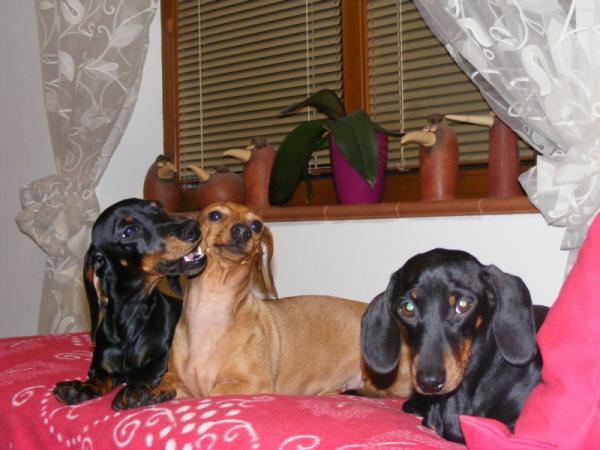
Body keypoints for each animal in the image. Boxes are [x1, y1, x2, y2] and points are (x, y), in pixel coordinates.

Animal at [53, 198, 207, 410]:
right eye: (129, 231)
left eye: (159, 208)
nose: (194, 226)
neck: (132, 320)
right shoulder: (100, 365)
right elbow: (99, 377)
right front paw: (82, 388)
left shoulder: (165, 355)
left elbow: (148, 370)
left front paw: (134, 389)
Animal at [155, 202, 412, 399]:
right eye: (215, 215)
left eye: (256, 225)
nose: (242, 231)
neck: (213, 310)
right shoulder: (179, 381)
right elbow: (169, 383)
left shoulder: (255, 383)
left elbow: (213, 392)